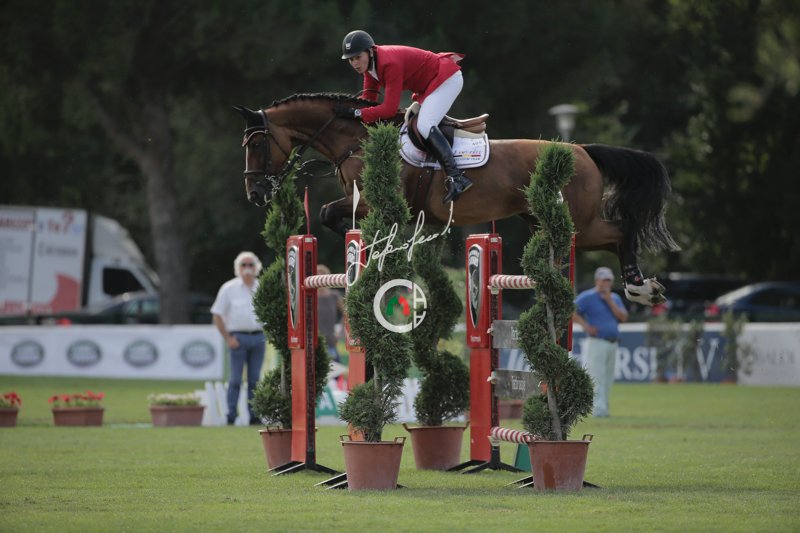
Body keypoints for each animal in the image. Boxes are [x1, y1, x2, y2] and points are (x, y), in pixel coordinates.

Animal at [234, 93, 679, 305]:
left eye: (256, 144)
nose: (255, 193)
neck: (356, 139)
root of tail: (583, 151)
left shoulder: (378, 204)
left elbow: (331, 213)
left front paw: (368, 246)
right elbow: (328, 213)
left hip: (580, 223)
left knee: (621, 231)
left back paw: (641, 288)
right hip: (547, 222)